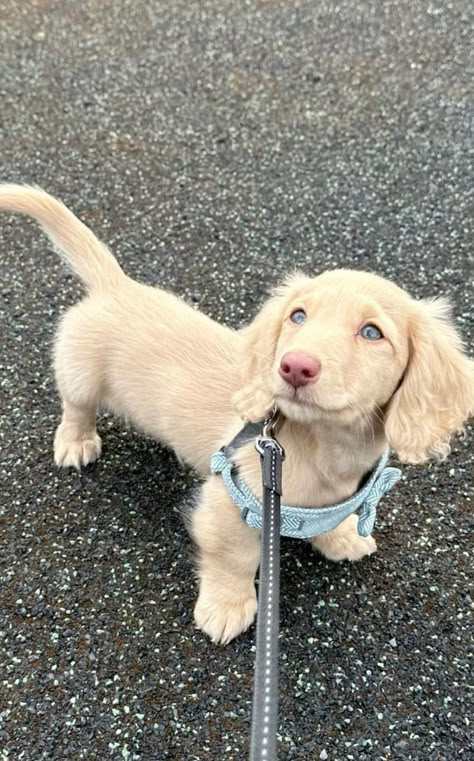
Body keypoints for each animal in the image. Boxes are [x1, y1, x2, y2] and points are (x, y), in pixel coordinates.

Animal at [0, 186, 474, 640]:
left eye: (373, 333)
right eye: (297, 316)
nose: (294, 365)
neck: (322, 448)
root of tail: (117, 284)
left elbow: (328, 521)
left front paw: (339, 538)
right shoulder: (231, 501)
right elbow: (236, 558)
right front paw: (226, 607)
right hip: (79, 373)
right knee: (75, 407)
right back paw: (76, 442)